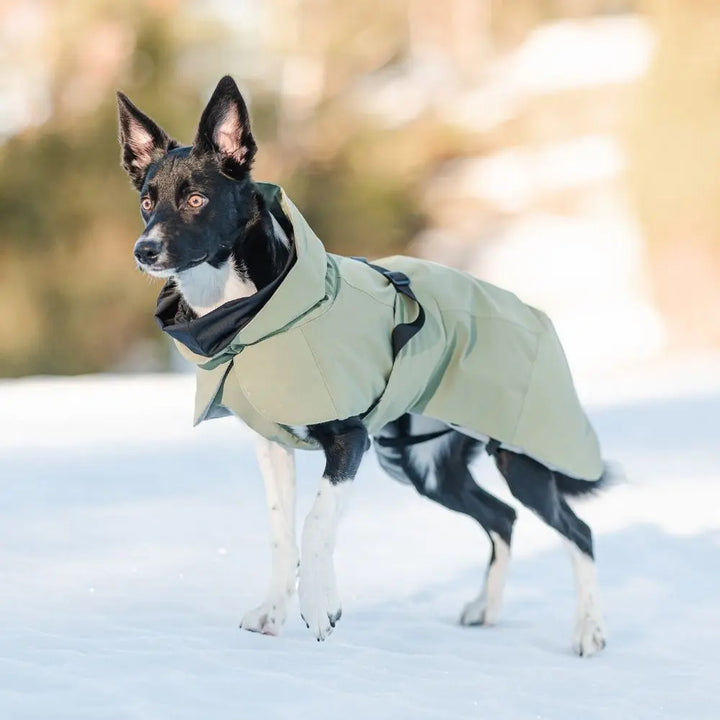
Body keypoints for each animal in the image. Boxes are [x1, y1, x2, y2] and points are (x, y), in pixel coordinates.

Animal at [119, 76, 612, 656]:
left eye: (196, 199)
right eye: (147, 201)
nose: (144, 251)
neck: (249, 314)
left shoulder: (349, 441)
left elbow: (315, 523)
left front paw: (319, 607)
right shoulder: (272, 446)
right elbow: (282, 532)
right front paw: (273, 613)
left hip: (520, 456)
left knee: (578, 530)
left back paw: (589, 630)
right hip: (427, 466)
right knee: (503, 517)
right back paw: (486, 609)